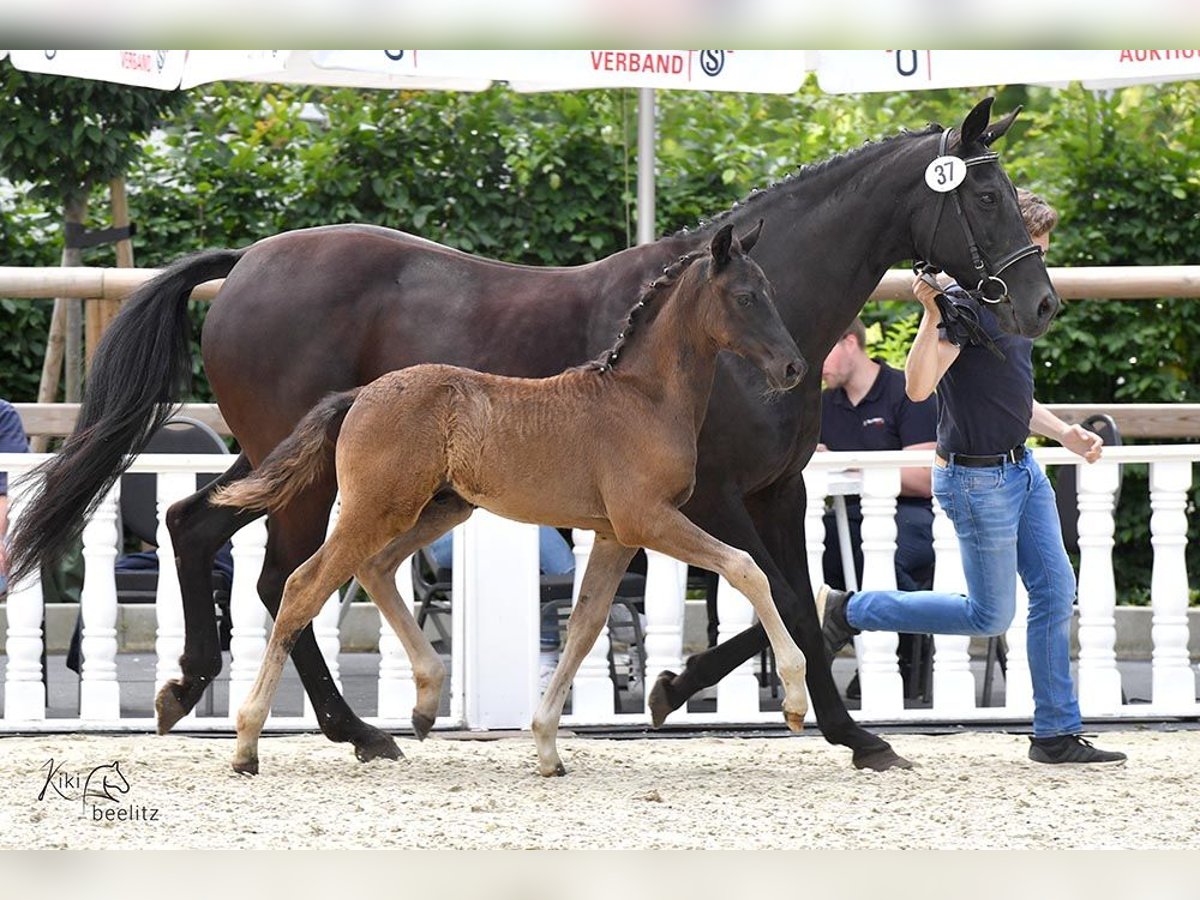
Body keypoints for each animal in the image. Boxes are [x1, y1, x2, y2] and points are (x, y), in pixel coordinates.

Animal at [218, 222, 816, 777]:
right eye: (746, 297)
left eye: (770, 290)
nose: (793, 367)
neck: (644, 399)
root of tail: (360, 395)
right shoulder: (649, 519)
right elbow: (746, 569)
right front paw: (794, 700)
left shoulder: (614, 534)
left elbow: (585, 625)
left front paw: (548, 746)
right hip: (378, 508)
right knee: (302, 586)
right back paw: (249, 741)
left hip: (439, 507)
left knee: (375, 567)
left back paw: (425, 702)